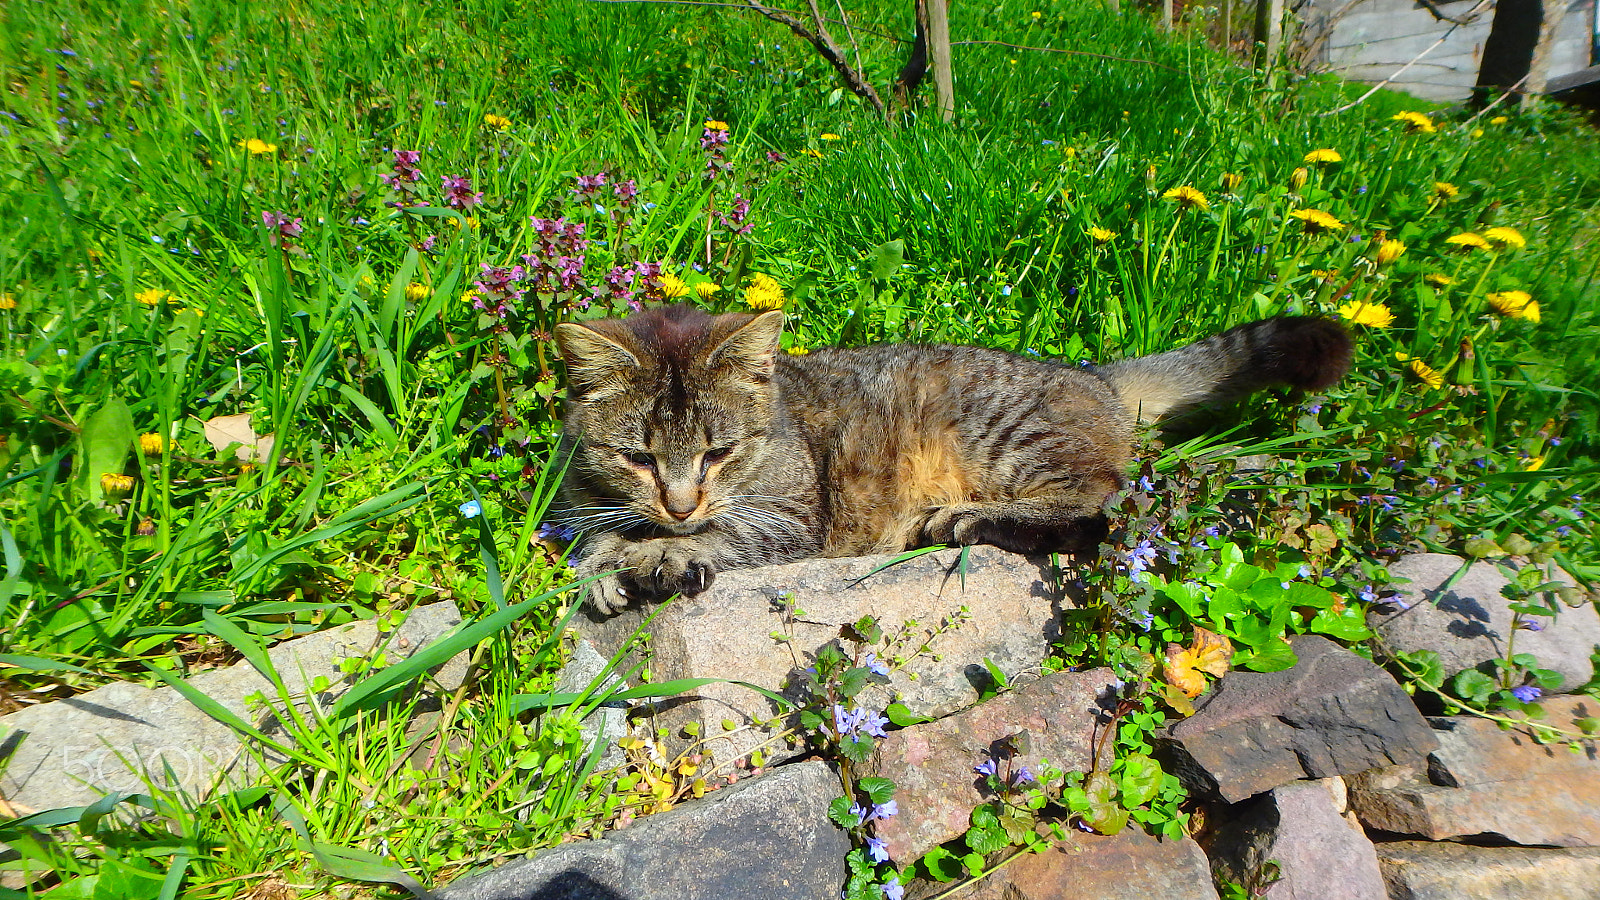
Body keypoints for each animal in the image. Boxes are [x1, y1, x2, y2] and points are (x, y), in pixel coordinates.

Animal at [550, 304, 1350, 611]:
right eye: (638, 458)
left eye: (719, 453)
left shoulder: (790, 518)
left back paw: (964, 518)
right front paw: (604, 562)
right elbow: (591, 536)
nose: (679, 503)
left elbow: (725, 531)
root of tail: (1094, 375)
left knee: (1109, 507)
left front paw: (661, 554)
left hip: (1006, 437)